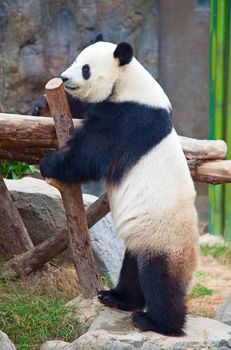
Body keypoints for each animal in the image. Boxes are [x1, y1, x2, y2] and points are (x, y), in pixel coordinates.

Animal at [39, 39, 199, 334]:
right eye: (75, 60)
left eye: (86, 68)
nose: (64, 78)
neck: (127, 81)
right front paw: (41, 105)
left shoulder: (129, 119)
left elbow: (91, 153)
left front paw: (50, 163)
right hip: (141, 236)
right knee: (132, 268)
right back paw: (116, 298)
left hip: (164, 237)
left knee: (159, 279)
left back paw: (157, 322)